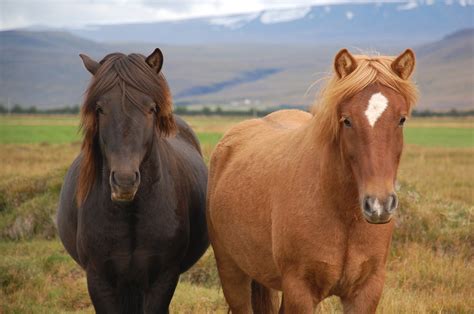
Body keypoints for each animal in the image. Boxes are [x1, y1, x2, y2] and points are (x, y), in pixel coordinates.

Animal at [207, 47, 418, 312]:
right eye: (347, 120)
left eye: (401, 119)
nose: (379, 205)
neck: (344, 214)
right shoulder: (300, 291)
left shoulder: (366, 291)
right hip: (232, 272)